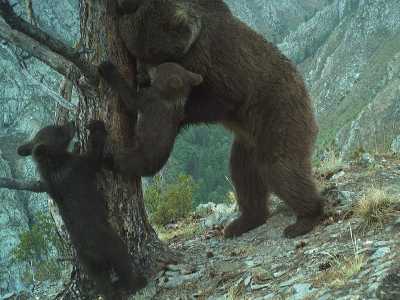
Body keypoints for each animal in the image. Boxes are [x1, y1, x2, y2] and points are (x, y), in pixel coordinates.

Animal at [113, 0, 324, 239]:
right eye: (136, 54)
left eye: (149, 53)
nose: (141, 76)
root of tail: (303, 85)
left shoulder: (214, 65)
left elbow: (216, 97)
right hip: (248, 139)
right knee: (243, 171)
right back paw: (245, 221)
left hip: (278, 112)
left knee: (280, 166)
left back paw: (306, 218)